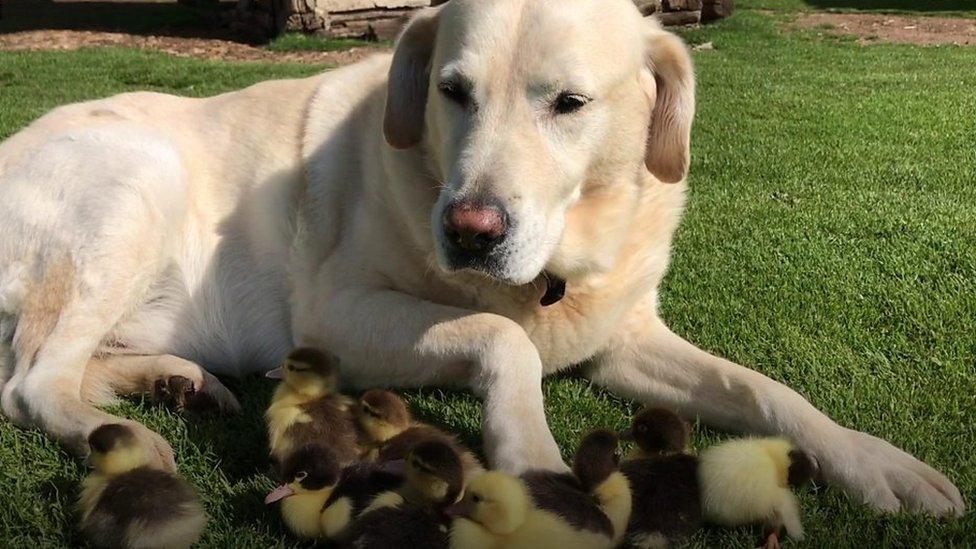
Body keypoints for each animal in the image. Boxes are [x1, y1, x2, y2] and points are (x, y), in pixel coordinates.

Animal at [0, 0, 960, 520]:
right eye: (451, 91)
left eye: (569, 103)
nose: (469, 230)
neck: (557, 270)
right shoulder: (337, 313)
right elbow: (507, 340)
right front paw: (530, 453)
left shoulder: (624, 338)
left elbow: (767, 390)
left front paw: (876, 461)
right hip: (137, 181)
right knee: (32, 381)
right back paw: (126, 434)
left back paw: (174, 381)